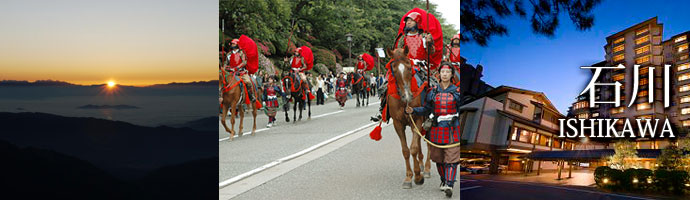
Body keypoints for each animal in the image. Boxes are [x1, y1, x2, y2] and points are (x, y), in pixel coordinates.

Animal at [382, 47, 430, 189]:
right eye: (393, 69)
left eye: (409, 67)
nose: (407, 96)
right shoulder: (398, 124)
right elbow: (406, 150)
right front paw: (409, 177)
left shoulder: (418, 119)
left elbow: (413, 148)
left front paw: (418, 176)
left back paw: (426, 168)